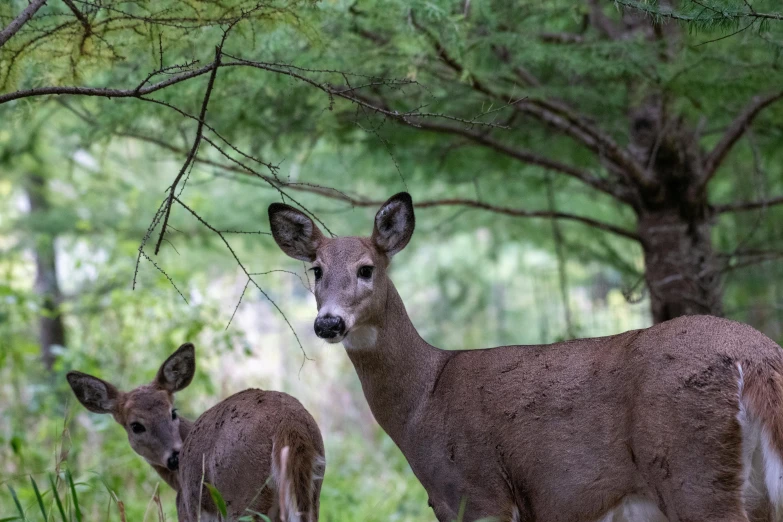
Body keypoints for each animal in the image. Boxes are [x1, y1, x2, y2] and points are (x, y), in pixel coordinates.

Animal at [67, 342, 324, 520]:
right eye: (136, 425)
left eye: (172, 411)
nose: (175, 457)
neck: (176, 482)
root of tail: (288, 426)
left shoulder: (188, 509)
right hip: (312, 493)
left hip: (243, 499)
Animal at [270, 193, 783, 520]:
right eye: (316, 270)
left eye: (366, 269)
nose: (328, 323)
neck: (422, 399)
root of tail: (756, 355)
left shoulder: (479, 492)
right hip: (755, 491)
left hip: (692, 471)